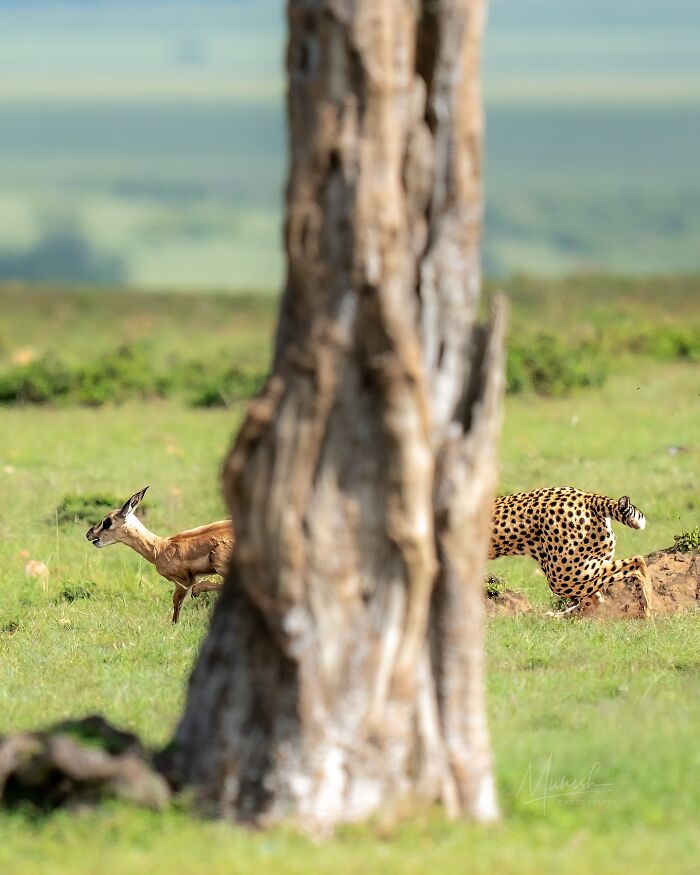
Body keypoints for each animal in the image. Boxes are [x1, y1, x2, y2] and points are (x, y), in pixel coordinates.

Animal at [488, 487, 651, 617]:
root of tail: (587, 496)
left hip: (562, 575)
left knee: (637, 562)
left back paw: (649, 608)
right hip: (579, 569)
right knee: (596, 598)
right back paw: (557, 617)